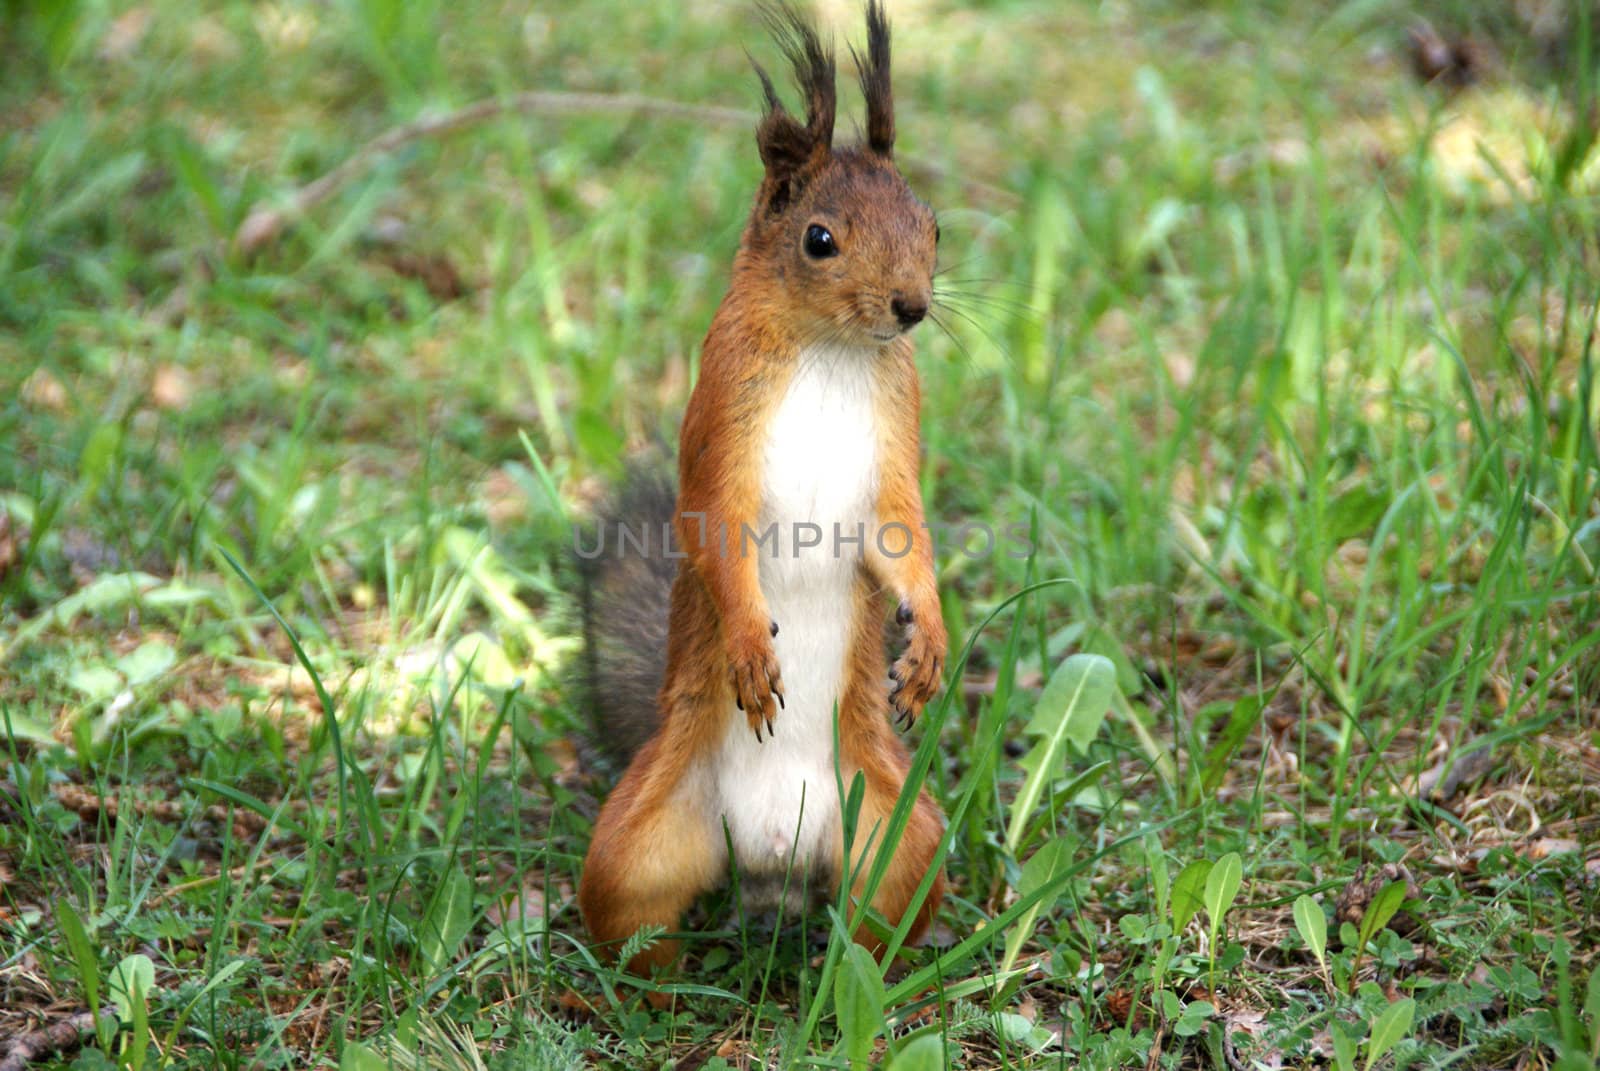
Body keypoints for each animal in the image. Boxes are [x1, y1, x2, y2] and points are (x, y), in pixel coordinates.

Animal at [579, 2, 940, 986]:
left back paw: (870, 978)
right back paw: (640, 995)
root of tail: (773, 857)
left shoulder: (895, 445)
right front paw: (747, 643)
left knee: (879, 912)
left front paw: (928, 639)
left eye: (932, 224)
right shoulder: (721, 424)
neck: (830, 350)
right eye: (819, 238)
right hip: (635, 843)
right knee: (630, 923)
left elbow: (903, 536)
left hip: (900, 831)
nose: (911, 306)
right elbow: (715, 527)